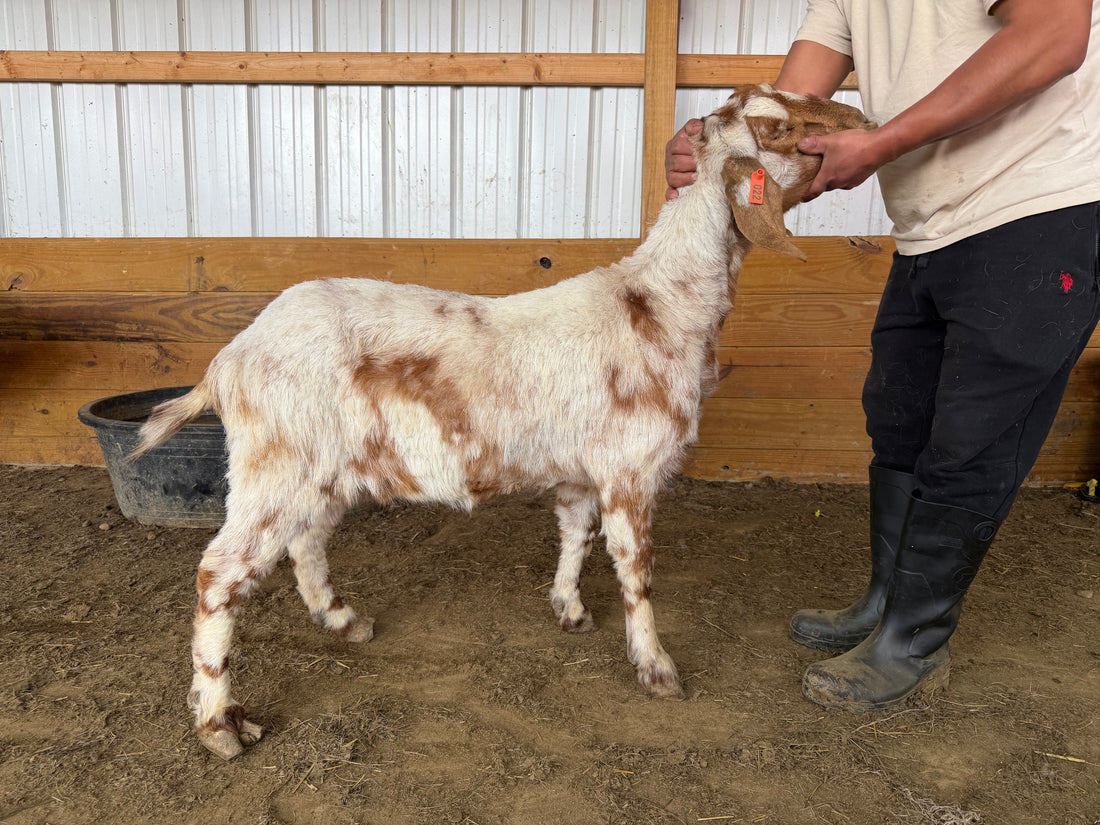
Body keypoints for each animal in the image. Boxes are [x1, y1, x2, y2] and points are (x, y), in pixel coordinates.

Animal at [135, 85, 873, 760]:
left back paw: (344, 621)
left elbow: (575, 535)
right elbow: (636, 571)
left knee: (305, 541)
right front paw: (657, 668)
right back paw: (220, 724)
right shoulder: (631, 469)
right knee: (219, 573)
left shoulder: (581, 472)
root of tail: (229, 358)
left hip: (323, 468)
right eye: (776, 128)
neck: (661, 305)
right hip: (276, 462)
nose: (860, 121)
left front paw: (569, 608)